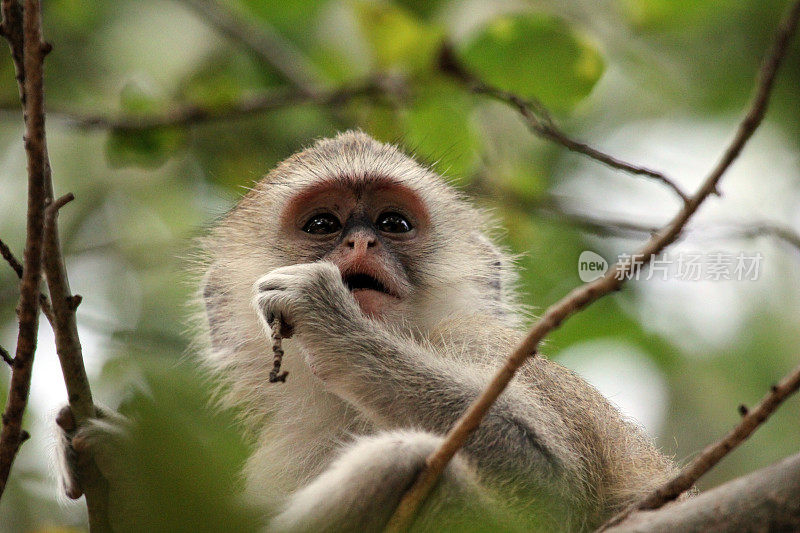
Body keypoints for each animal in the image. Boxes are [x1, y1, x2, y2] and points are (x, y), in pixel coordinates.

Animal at [56, 130, 680, 532]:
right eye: (323, 224)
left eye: (393, 222)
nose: (361, 242)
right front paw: (132, 473)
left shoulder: (483, 346)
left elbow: (549, 485)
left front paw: (330, 321)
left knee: (400, 458)